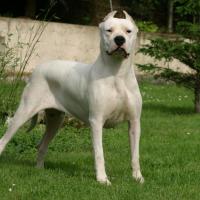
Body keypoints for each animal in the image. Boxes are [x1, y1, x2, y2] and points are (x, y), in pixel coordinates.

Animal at [0, 10, 144, 184]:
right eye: (109, 30)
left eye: (128, 31)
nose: (119, 39)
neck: (118, 74)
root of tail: (38, 69)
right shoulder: (96, 121)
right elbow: (99, 153)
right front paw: (102, 179)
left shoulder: (134, 122)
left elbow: (135, 154)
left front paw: (138, 178)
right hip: (24, 112)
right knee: (4, 139)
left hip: (55, 120)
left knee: (42, 145)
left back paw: (39, 169)